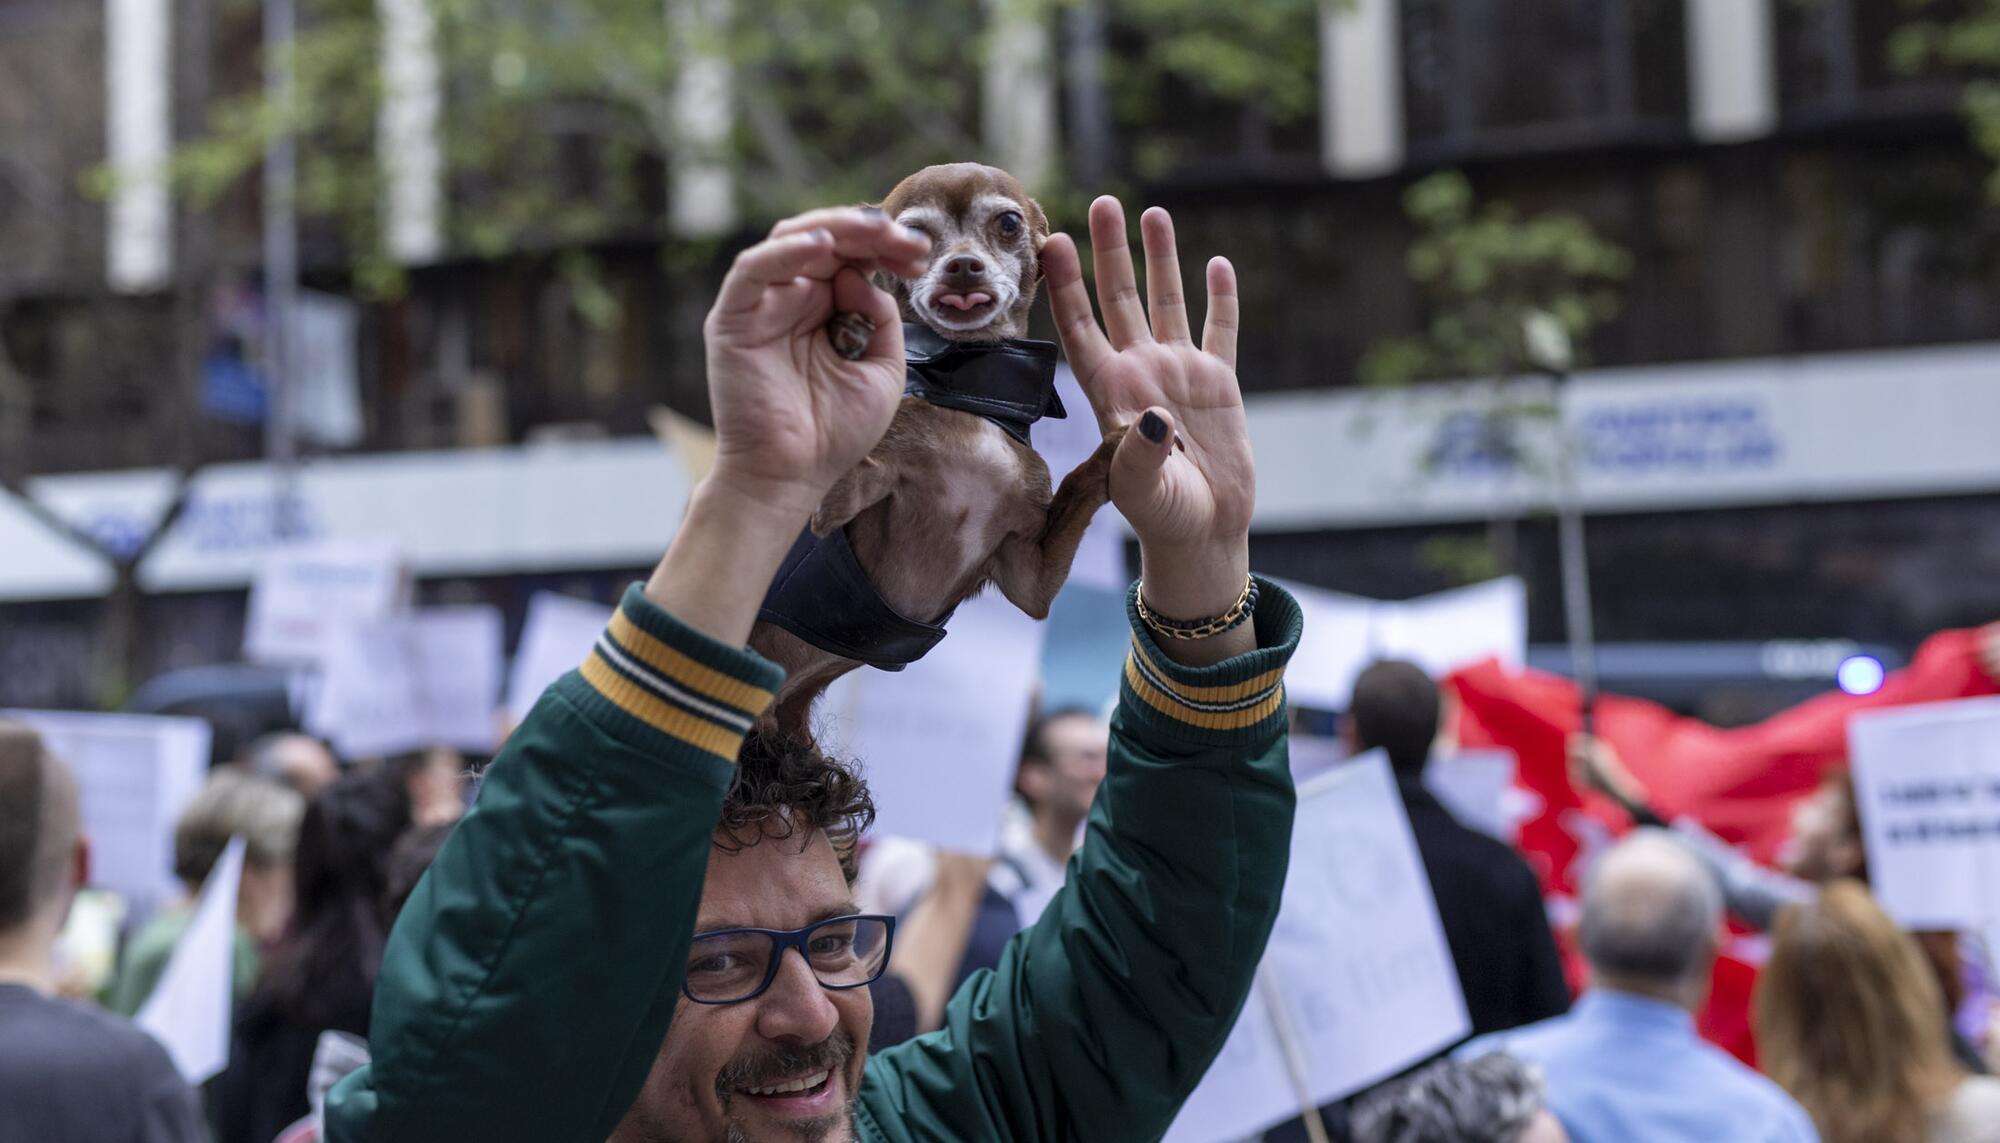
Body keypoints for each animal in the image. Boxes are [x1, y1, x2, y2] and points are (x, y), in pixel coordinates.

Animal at [752, 160, 1128, 731]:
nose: (963, 266)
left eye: (1009, 223)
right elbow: (850, 471)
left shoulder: (1030, 579)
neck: (966, 399)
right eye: (912, 235)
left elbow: (1079, 484)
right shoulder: (849, 499)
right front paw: (844, 337)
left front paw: (1116, 451)